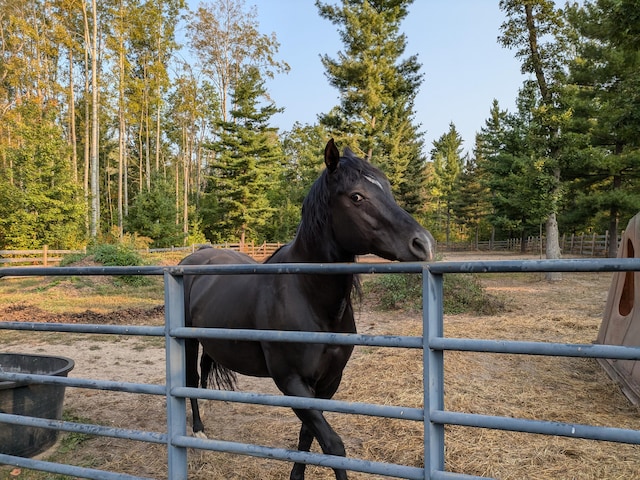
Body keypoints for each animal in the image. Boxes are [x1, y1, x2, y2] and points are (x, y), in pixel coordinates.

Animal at [179, 137, 436, 478]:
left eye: (388, 189)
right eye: (356, 196)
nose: (423, 244)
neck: (308, 295)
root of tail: (196, 257)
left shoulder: (328, 382)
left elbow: (307, 436)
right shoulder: (291, 382)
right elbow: (333, 445)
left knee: (205, 373)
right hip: (188, 340)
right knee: (190, 379)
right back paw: (197, 431)